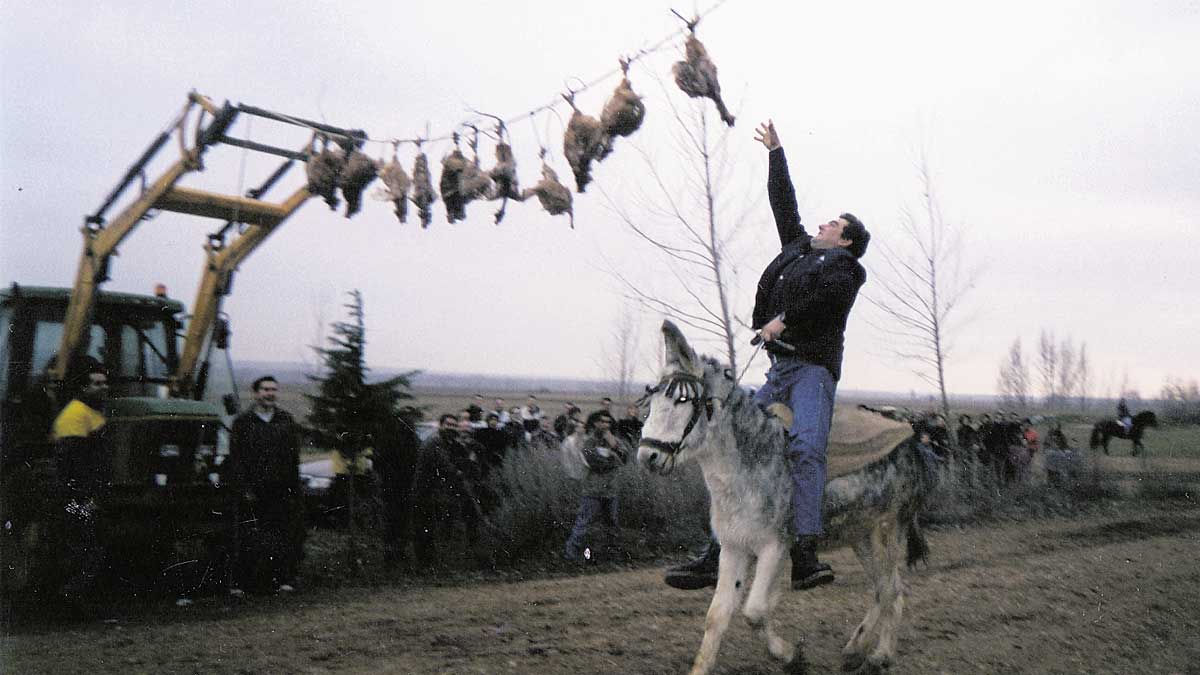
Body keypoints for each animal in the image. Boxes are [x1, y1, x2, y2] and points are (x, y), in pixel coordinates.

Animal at [638, 321, 936, 672]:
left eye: (682, 401)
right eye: (653, 401)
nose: (648, 456)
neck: (752, 463)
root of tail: (912, 439)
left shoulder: (773, 547)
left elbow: (755, 611)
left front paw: (791, 656)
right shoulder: (734, 548)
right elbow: (718, 616)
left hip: (885, 532)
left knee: (892, 590)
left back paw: (881, 655)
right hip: (859, 536)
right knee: (881, 591)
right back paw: (854, 649)